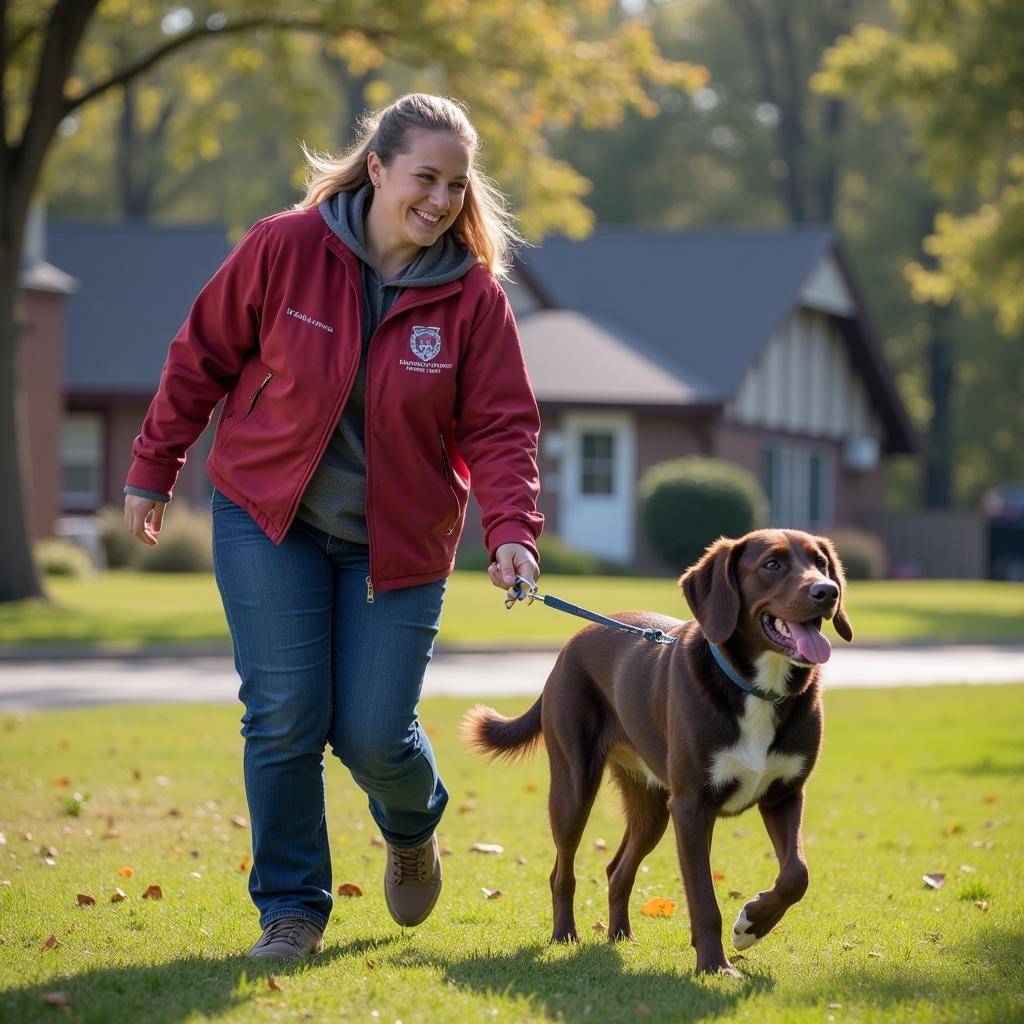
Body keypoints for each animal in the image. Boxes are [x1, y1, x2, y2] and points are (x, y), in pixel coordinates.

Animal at [462, 528, 847, 974]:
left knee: (617, 869)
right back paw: (564, 935)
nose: (828, 591)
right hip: (574, 787)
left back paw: (620, 935)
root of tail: (569, 646)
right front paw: (715, 966)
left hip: (652, 805)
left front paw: (752, 924)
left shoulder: (784, 795)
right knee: (562, 870)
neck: (756, 689)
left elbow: (796, 874)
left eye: (821, 563)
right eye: (772, 564)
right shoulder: (692, 806)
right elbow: (703, 899)